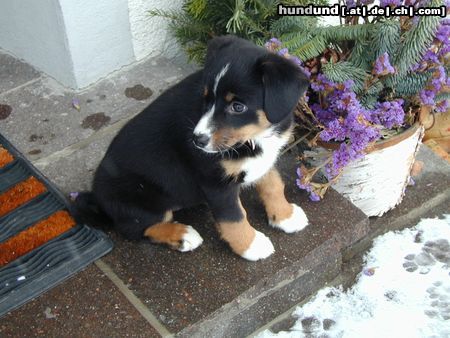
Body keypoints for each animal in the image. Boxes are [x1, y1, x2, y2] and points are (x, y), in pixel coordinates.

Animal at [75, 35, 312, 262]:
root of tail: (99, 200)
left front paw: (285, 215)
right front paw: (251, 245)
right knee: (136, 228)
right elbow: (234, 217)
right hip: (143, 198)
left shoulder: (265, 158)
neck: (254, 137)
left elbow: (273, 184)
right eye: (206, 99)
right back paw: (182, 235)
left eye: (238, 106)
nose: (198, 140)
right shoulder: (215, 182)